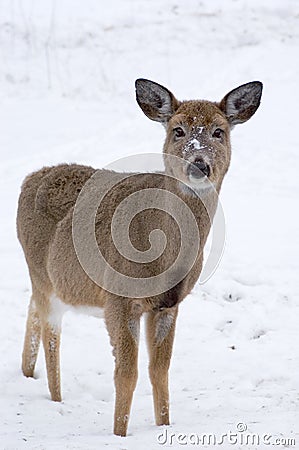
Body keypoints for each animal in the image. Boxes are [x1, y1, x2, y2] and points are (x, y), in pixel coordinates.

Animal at [17, 79, 264, 438]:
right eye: (178, 130)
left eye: (219, 131)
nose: (199, 163)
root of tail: (30, 178)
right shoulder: (118, 298)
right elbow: (126, 373)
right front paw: (119, 434)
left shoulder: (169, 304)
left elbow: (159, 371)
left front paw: (165, 425)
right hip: (42, 274)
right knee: (52, 334)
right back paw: (55, 398)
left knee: (32, 311)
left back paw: (27, 374)